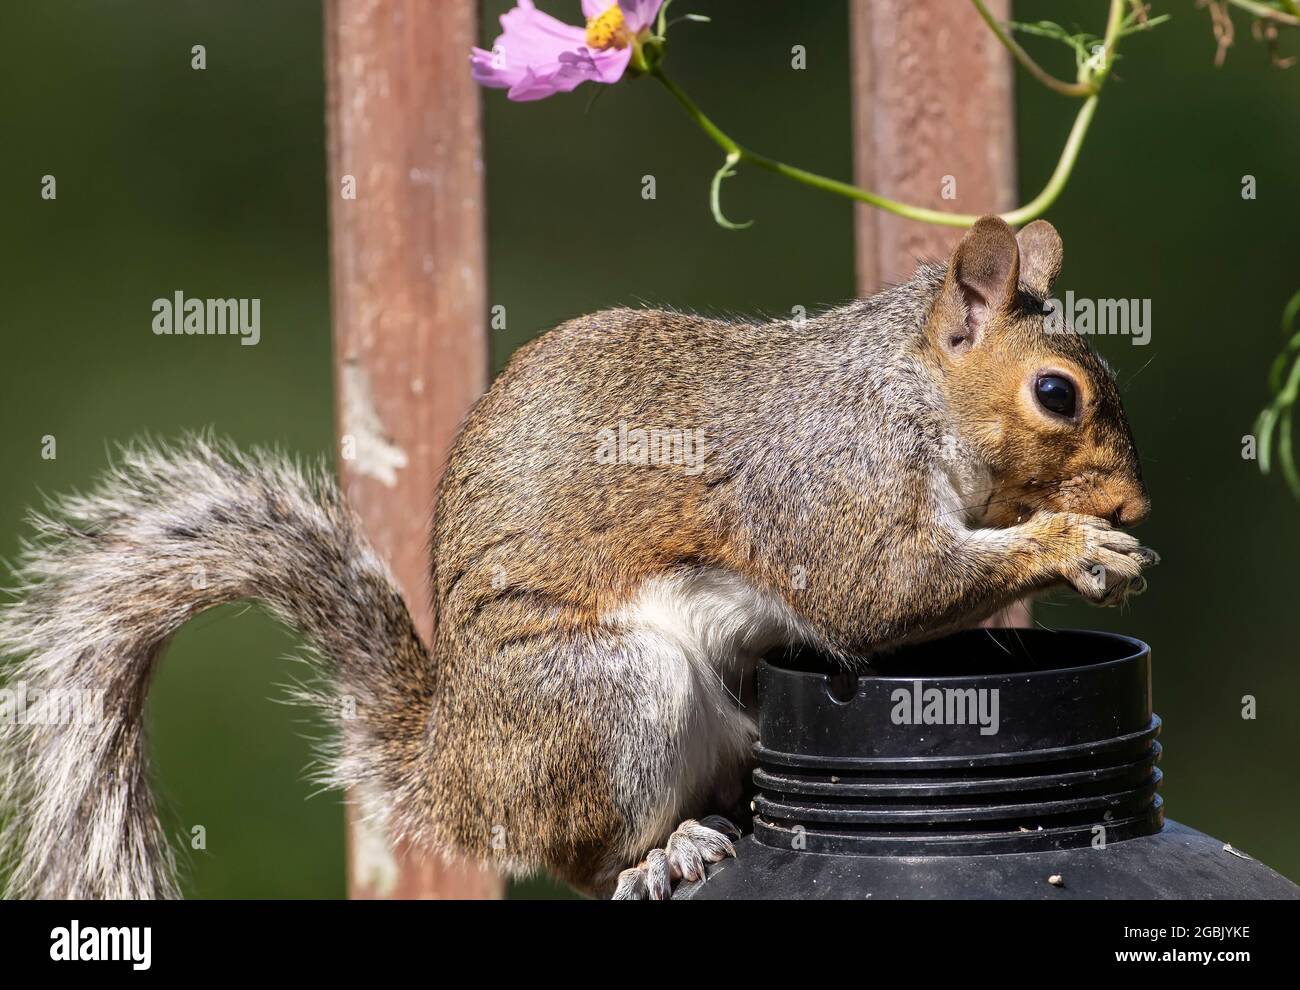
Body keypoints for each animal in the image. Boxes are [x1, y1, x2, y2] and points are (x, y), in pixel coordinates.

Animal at [0, 215, 1159, 893]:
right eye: (1056, 394)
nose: (1136, 502)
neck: (903, 392)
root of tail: (458, 778)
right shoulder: (823, 485)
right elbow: (875, 594)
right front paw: (1074, 544)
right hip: (604, 697)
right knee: (588, 861)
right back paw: (666, 849)